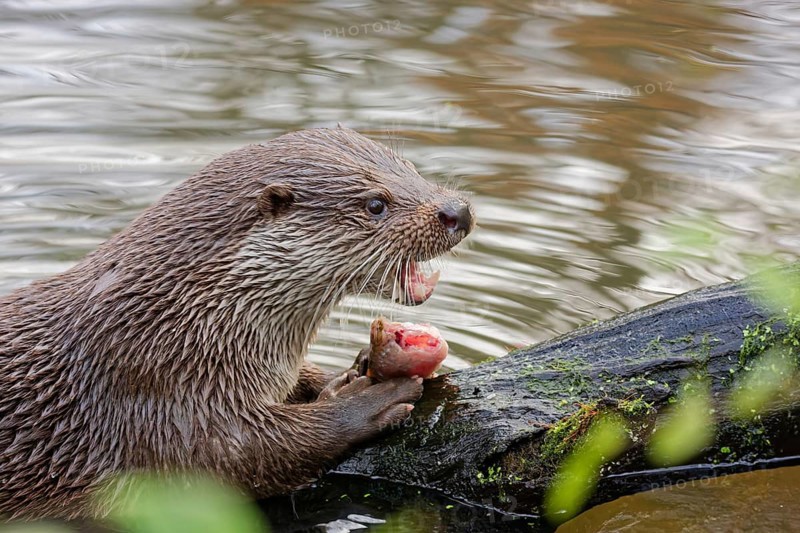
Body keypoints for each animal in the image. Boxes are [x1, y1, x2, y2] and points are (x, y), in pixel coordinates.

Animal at [0, 127, 474, 519]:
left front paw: (352, 368)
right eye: (376, 204)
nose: (459, 211)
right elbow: (246, 454)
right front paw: (366, 401)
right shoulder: (155, 395)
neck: (180, 322)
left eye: (411, 168)